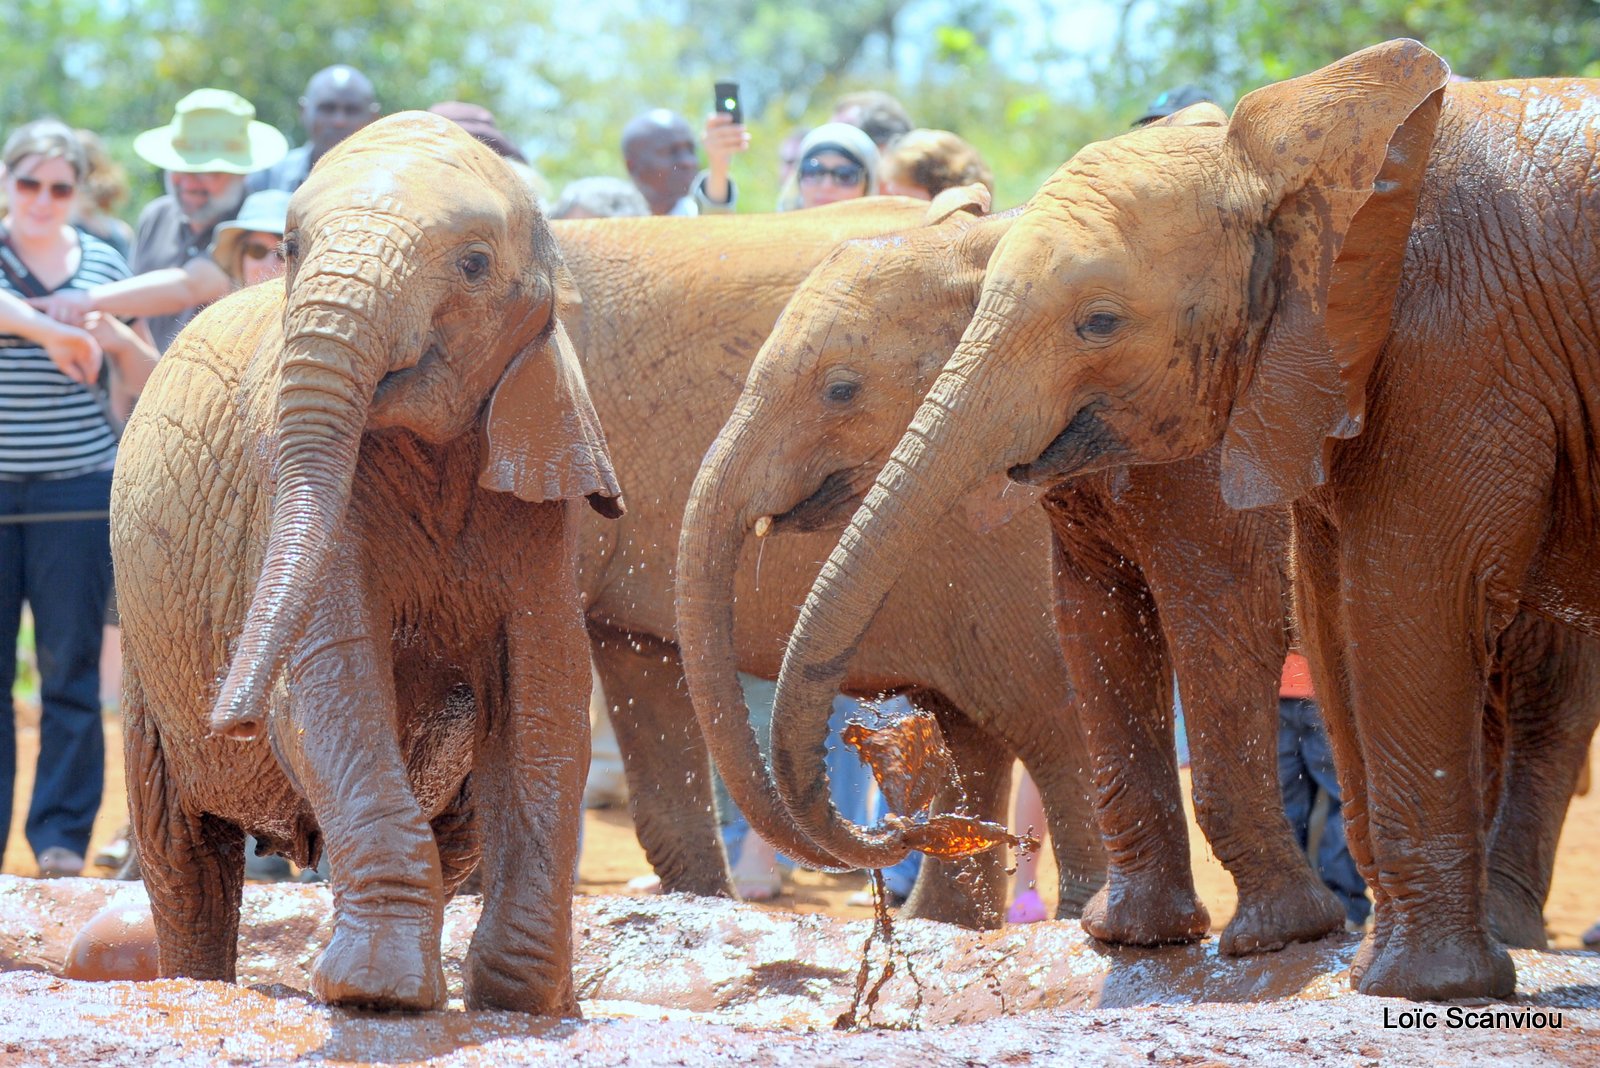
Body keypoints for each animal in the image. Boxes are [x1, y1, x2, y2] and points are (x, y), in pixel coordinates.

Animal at [109, 112, 620, 1016]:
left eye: (474, 264)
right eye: (287, 247)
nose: (230, 717)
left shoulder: (538, 500)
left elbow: (546, 701)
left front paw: (523, 1002)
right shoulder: (279, 479)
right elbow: (333, 686)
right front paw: (377, 995)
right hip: (143, 656)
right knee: (184, 859)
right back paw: (200, 985)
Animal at [678, 179, 1350, 952]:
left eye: (840, 389)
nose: (900, 828)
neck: (994, 244)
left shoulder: (1200, 463)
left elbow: (1224, 620)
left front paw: (1270, 938)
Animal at [758, 43, 1600, 1004]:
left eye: (1099, 323)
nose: (878, 746)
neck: (1268, 154)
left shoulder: (1450, 346)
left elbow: (1327, 607)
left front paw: (1356, 967)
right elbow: (1128, 622)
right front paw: (1134, 939)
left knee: (1541, 696)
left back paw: (1500, 935)